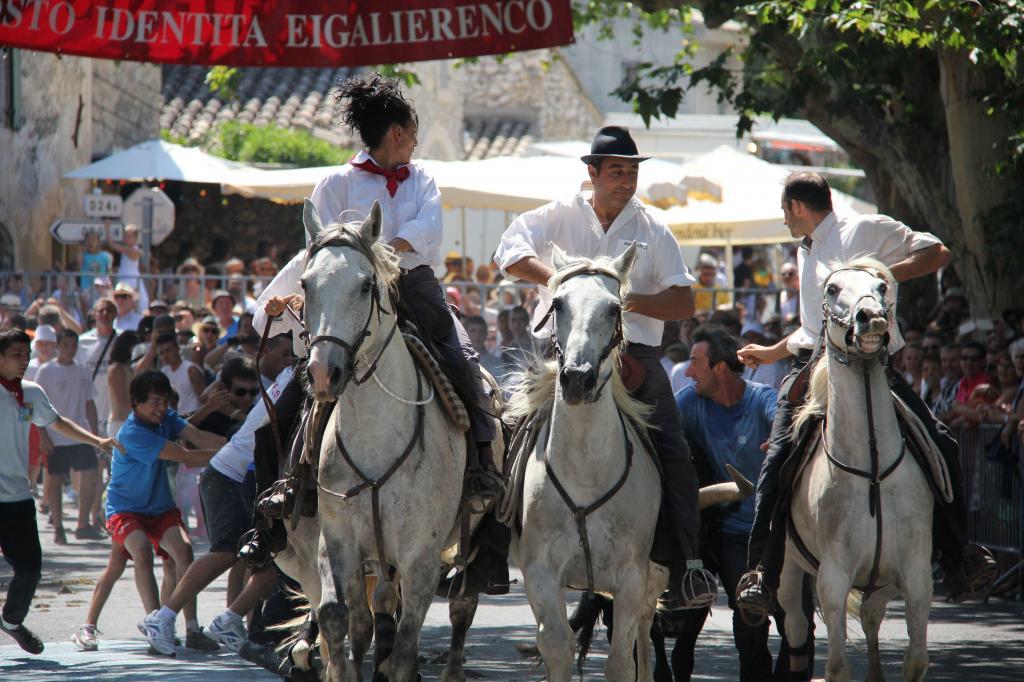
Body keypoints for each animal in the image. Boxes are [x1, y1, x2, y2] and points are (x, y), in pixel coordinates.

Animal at [276, 199, 471, 675]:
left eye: (366, 286)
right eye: (305, 284)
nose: (323, 373)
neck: (378, 437)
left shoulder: (422, 556)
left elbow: (404, 645)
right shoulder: (339, 542)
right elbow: (341, 619)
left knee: (462, 605)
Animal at [507, 244, 667, 679]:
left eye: (614, 308)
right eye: (558, 304)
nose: (577, 377)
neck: (586, 472)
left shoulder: (631, 577)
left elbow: (620, 660)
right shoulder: (541, 575)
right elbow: (557, 646)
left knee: (645, 628)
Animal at [778, 258, 937, 675]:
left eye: (881, 287)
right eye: (832, 289)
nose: (873, 318)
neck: (872, 468)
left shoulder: (916, 575)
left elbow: (916, 659)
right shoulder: (833, 578)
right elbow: (836, 665)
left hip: (879, 582)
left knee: (870, 618)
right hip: (788, 571)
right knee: (796, 624)